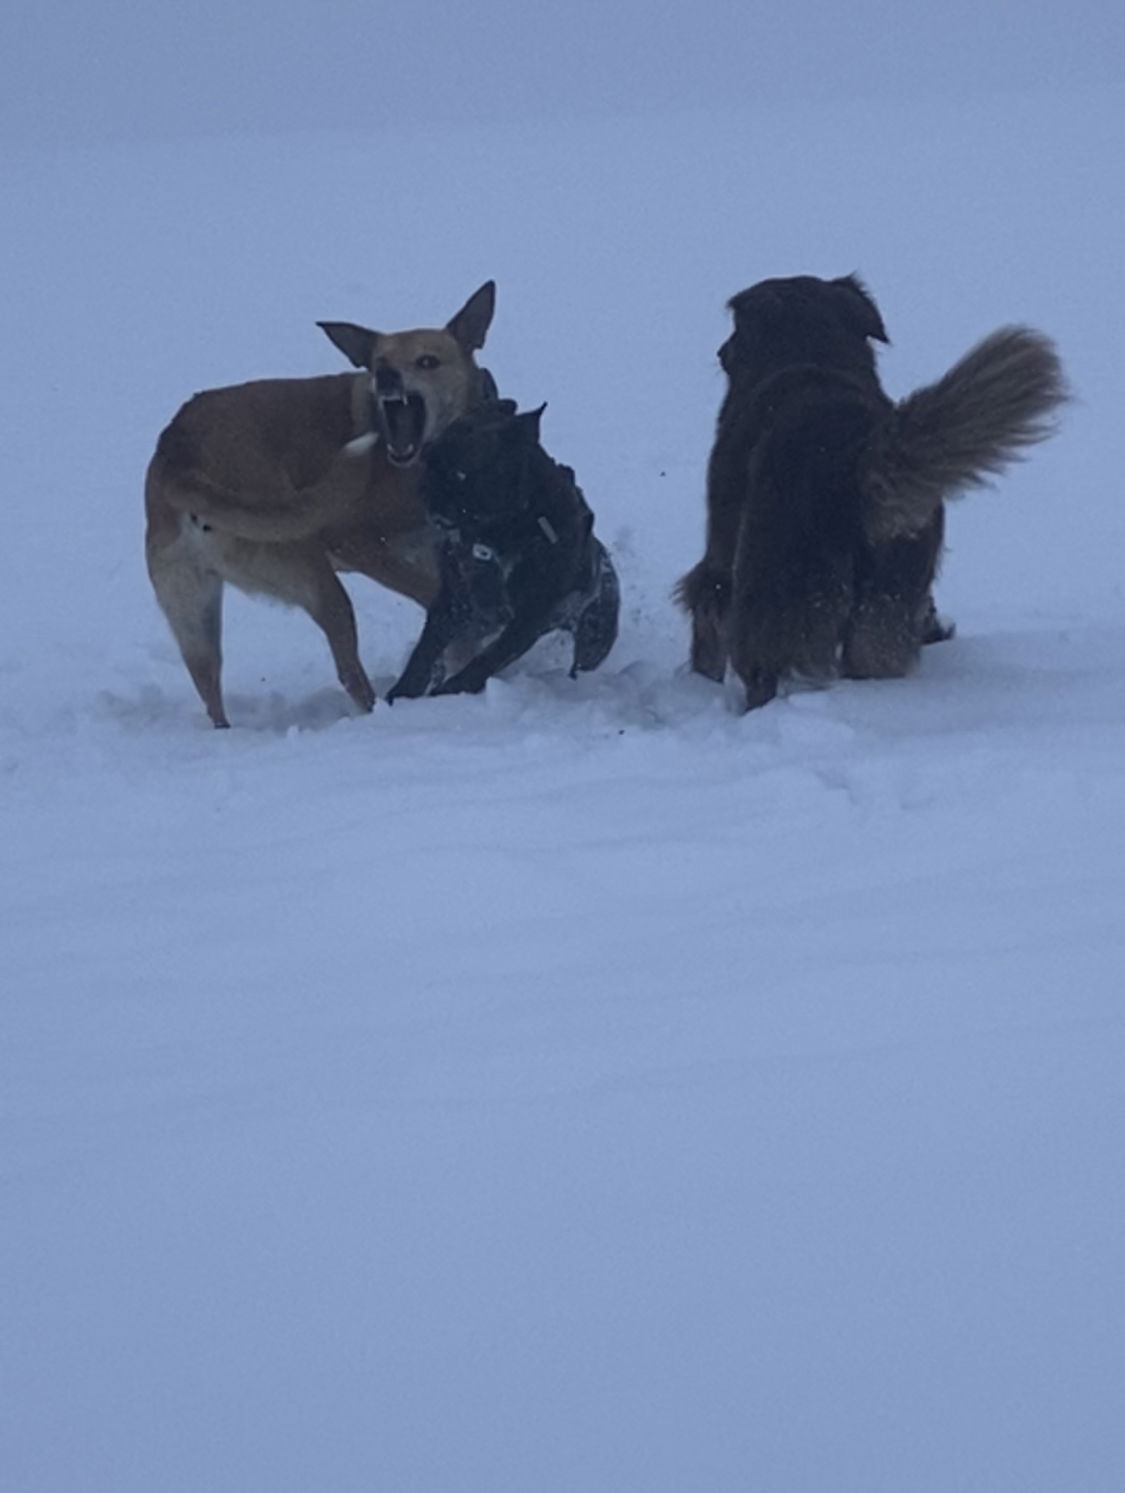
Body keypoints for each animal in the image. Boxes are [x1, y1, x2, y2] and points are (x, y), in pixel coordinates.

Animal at [142, 282, 492, 725]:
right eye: (379, 362)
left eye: (427, 361)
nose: (385, 377)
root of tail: (179, 453)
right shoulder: (356, 540)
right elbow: (429, 594)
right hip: (311, 572)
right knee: (348, 669)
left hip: (193, 610)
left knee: (208, 686)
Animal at [384, 400, 614, 695]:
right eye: (428, 459)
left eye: (460, 474)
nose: (425, 489)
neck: (500, 530)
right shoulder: (454, 601)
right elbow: (426, 648)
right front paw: (403, 691)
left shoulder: (530, 617)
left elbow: (490, 658)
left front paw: (452, 689)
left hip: (595, 637)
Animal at [671, 276, 1062, 710]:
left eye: (736, 329)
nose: (720, 351)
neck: (814, 356)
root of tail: (858, 454)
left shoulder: (720, 558)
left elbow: (706, 607)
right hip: (885, 605)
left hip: (775, 589)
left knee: (762, 671)